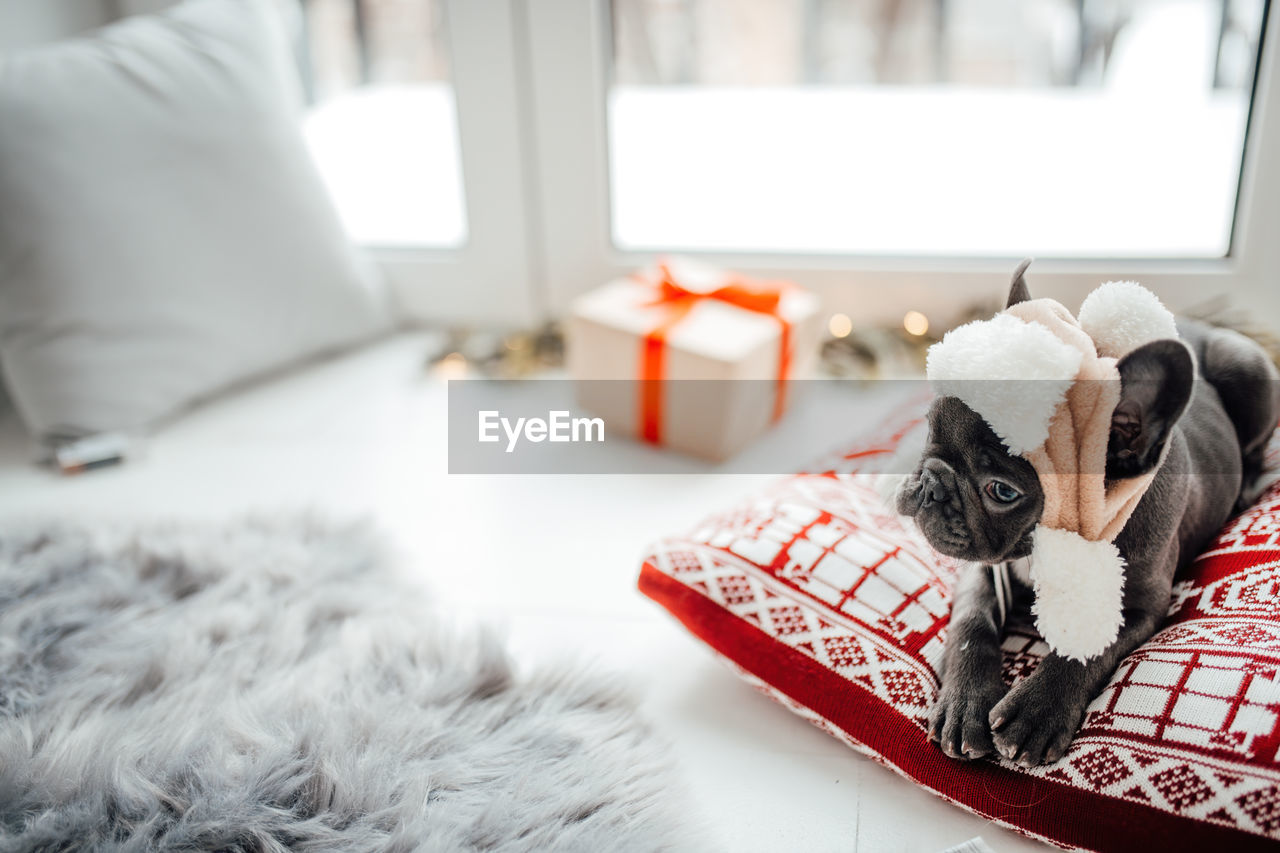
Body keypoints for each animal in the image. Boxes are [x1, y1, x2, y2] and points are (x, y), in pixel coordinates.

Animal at [901, 267, 1280, 763]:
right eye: (930, 427)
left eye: (1002, 491)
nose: (931, 483)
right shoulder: (985, 572)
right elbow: (972, 623)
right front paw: (965, 702)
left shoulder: (1134, 605)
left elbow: (1086, 649)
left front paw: (1036, 712)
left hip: (1249, 371)